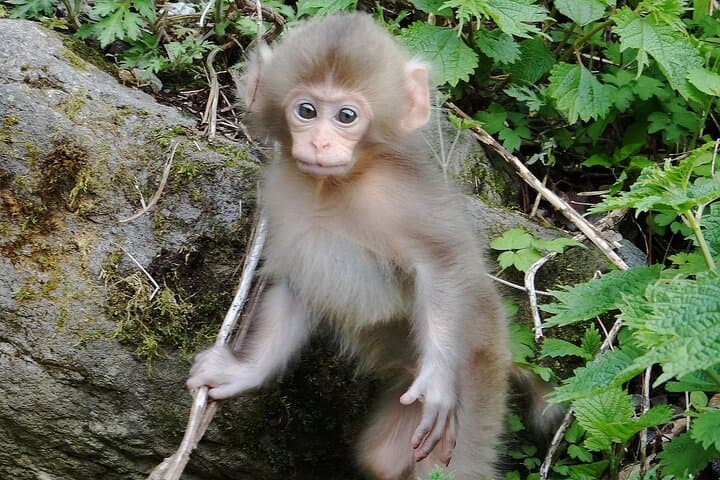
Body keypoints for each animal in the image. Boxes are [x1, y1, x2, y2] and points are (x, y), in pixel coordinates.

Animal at [186, 12, 511, 480]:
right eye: (306, 110)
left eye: (345, 115)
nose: (320, 142)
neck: (335, 187)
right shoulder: (282, 198)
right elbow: (296, 285)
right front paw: (245, 372)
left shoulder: (401, 196)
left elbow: (442, 266)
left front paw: (436, 382)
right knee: (380, 457)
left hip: (480, 375)